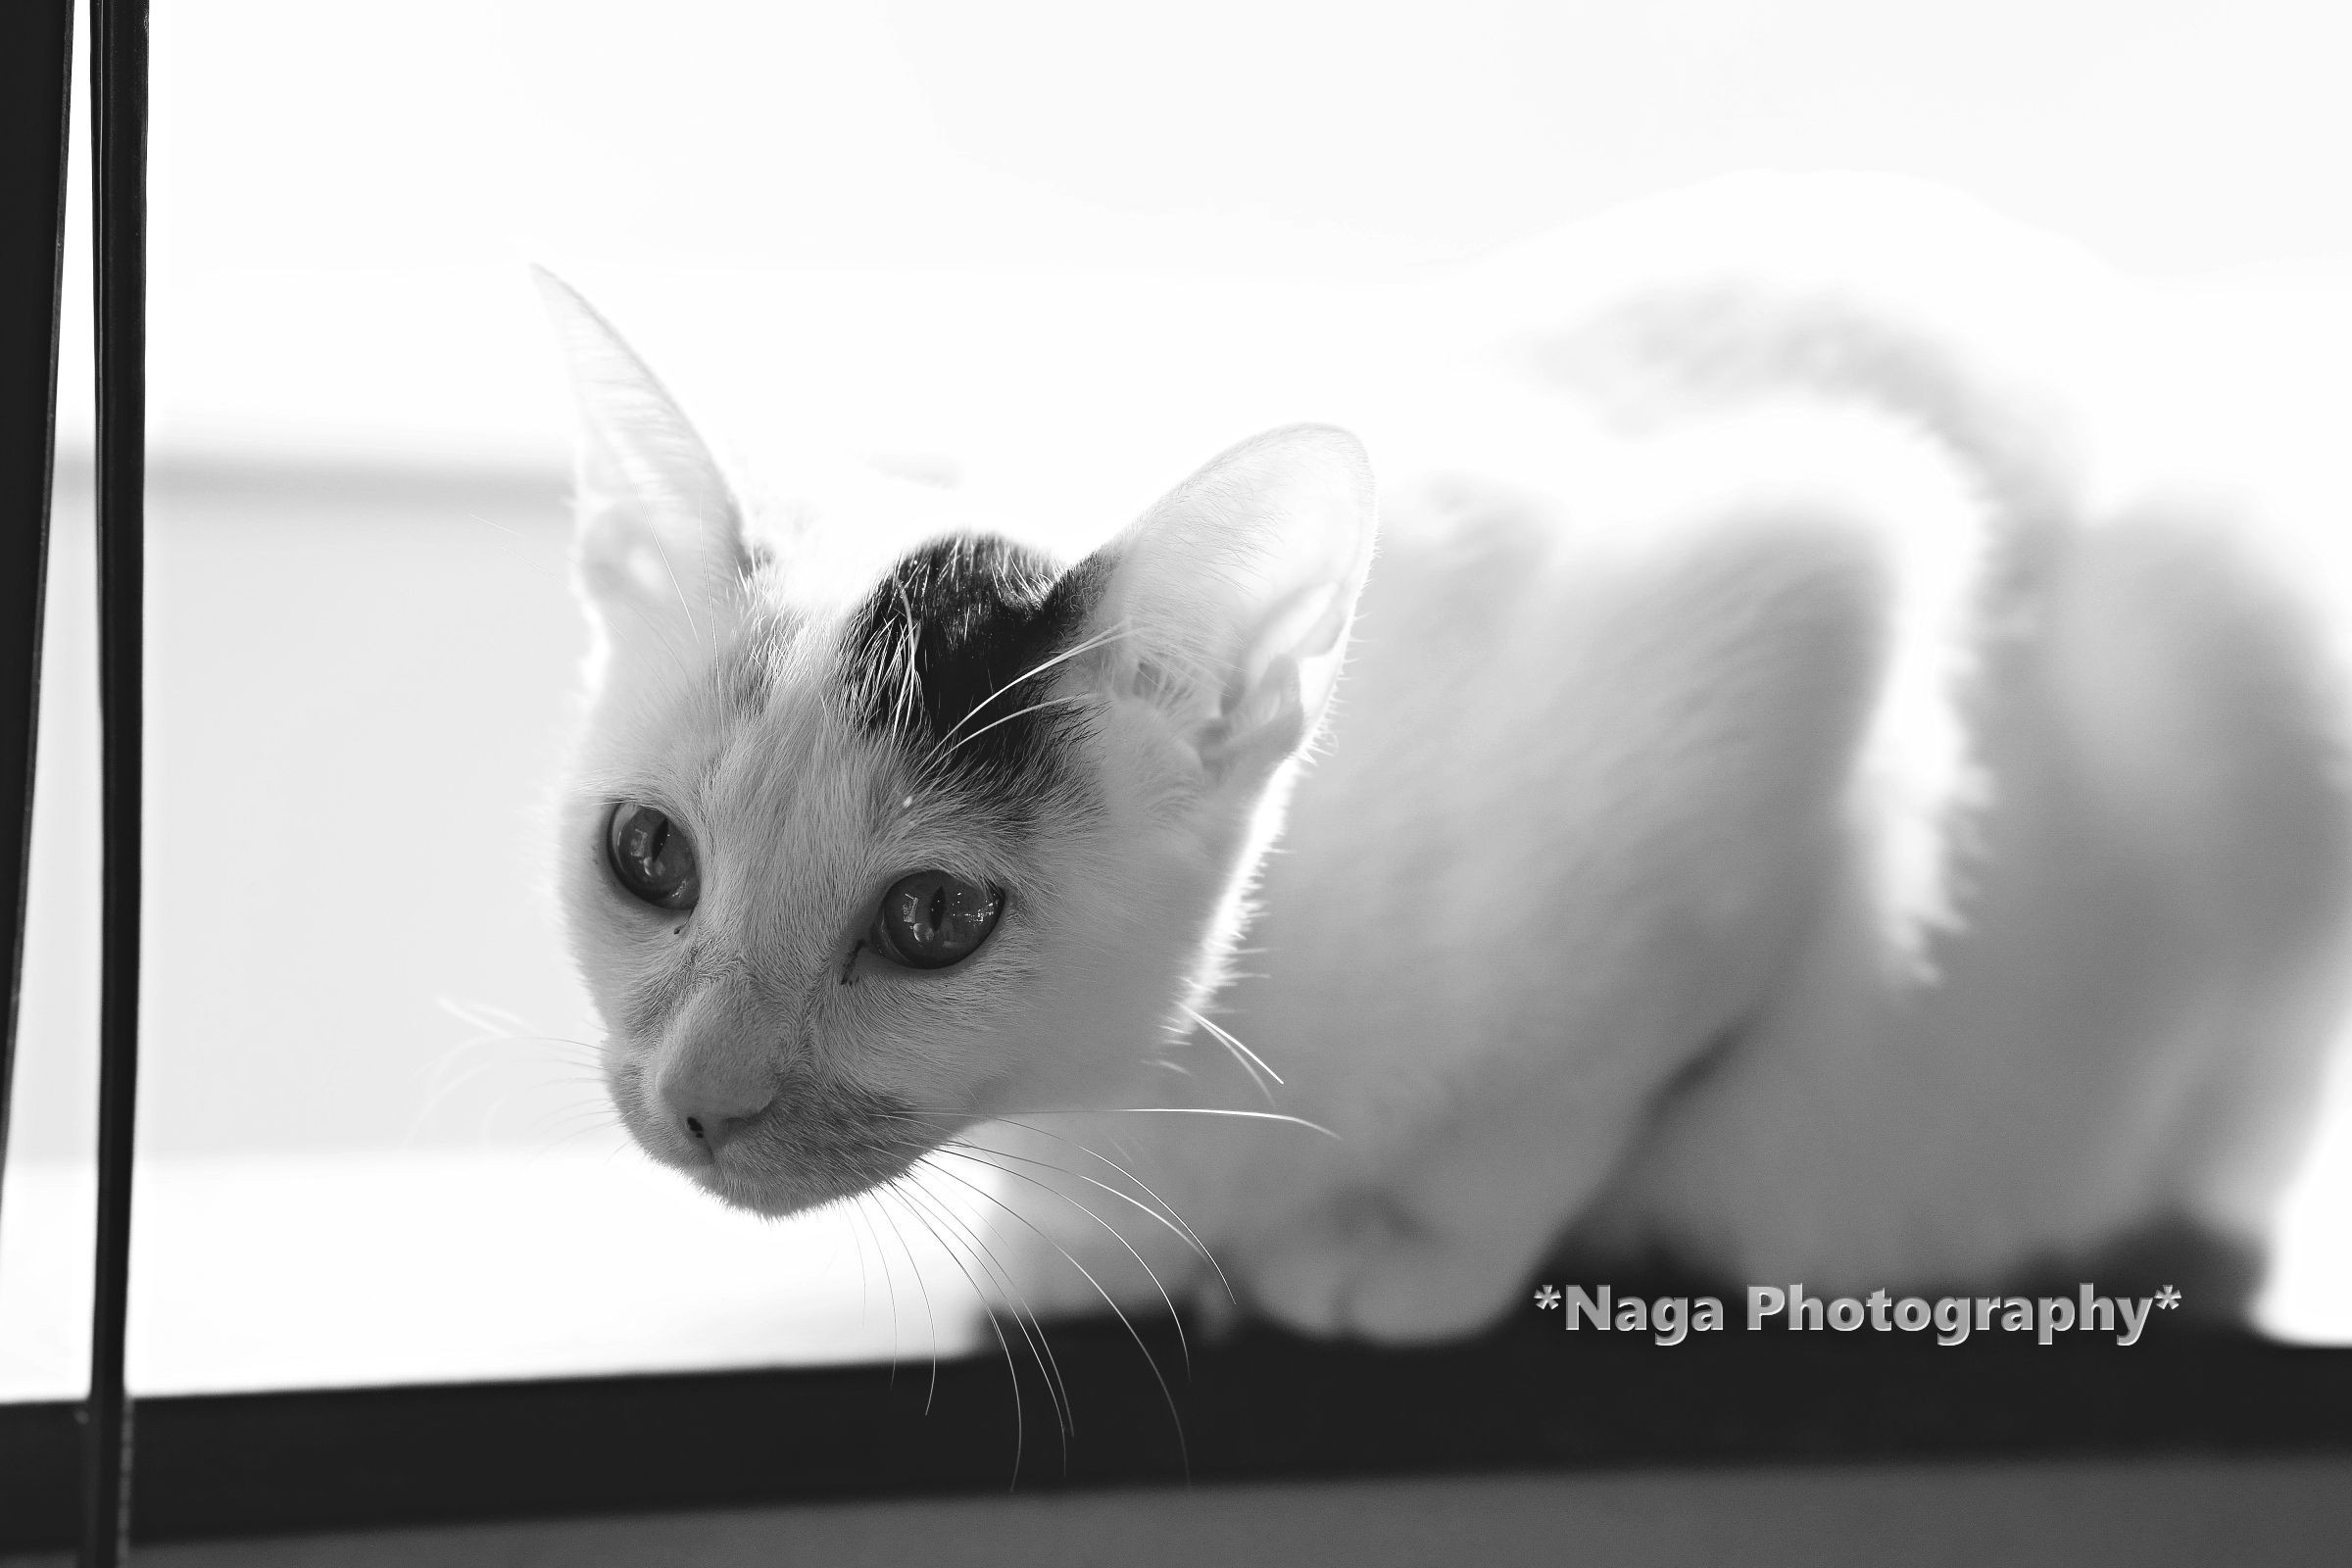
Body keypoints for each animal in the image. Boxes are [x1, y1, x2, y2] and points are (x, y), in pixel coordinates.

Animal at [539, 179, 2352, 1343]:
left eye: (932, 923)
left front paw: (1408, 1252)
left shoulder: (1798, 613)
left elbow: (1577, 1093)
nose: (697, 1100)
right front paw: (1078, 1239)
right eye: (649, 859)